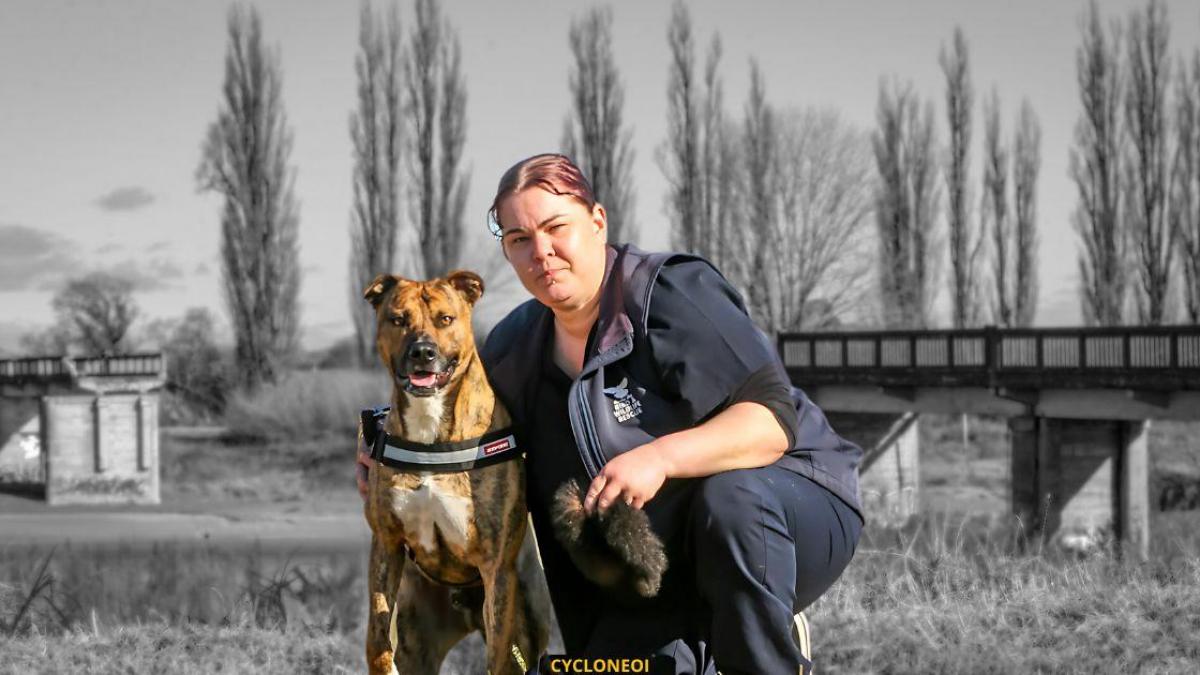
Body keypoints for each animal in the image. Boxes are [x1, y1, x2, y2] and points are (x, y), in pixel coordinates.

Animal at [355, 269, 544, 672]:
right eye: (398, 319)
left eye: (445, 319)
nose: (423, 352)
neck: (431, 428)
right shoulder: (386, 544)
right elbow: (376, 634)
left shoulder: (496, 568)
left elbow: (497, 659)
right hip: (419, 635)